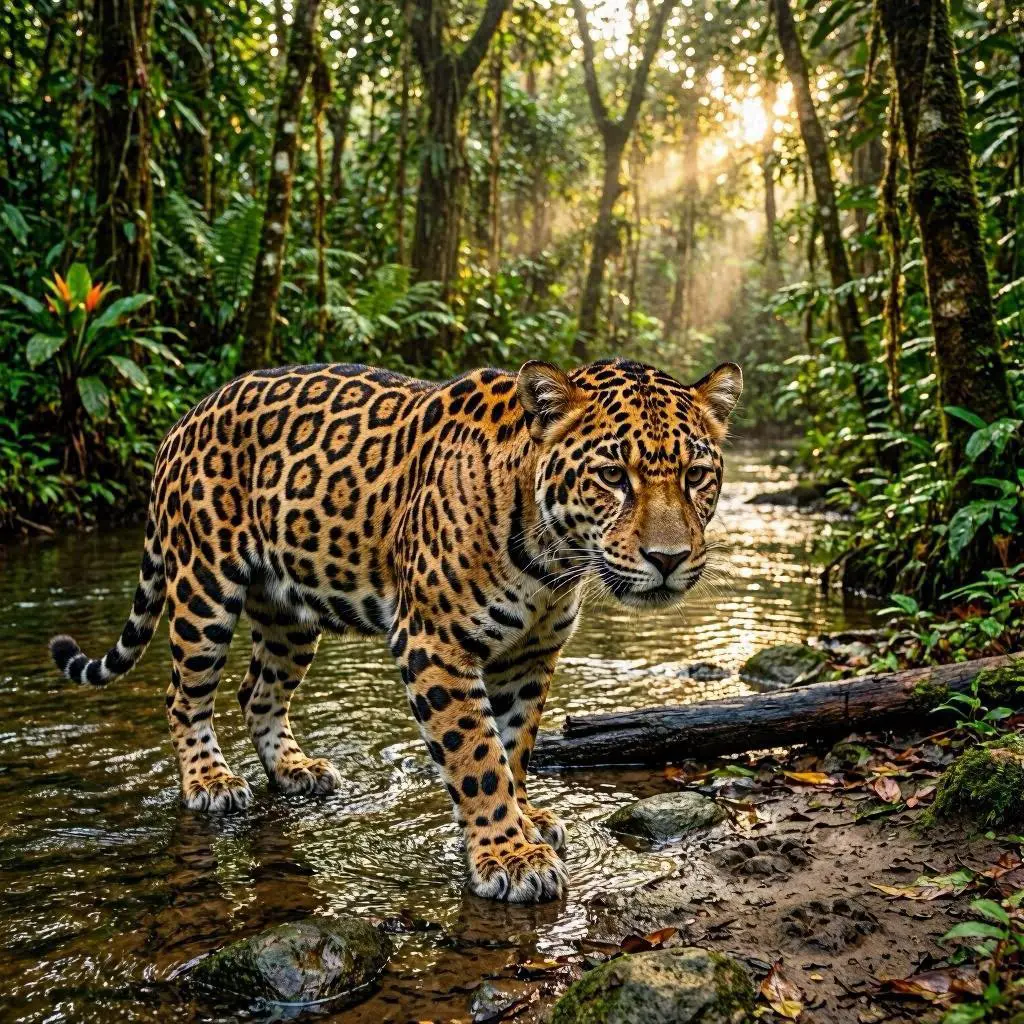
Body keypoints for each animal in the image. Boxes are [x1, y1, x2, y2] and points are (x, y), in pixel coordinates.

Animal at [49, 357, 742, 902]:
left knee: (258, 692)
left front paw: (524, 821)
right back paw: (211, 782)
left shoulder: (530, 656)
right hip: (203, 587)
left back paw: (295, 770)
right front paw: (510, 856)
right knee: (184, 695)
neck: (552, 560)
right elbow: (478, 757)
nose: (669, 559)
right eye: (612, 476)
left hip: (289, 608)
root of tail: (183, 418)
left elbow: (515, 745)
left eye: (696, 476)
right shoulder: (435, 645)